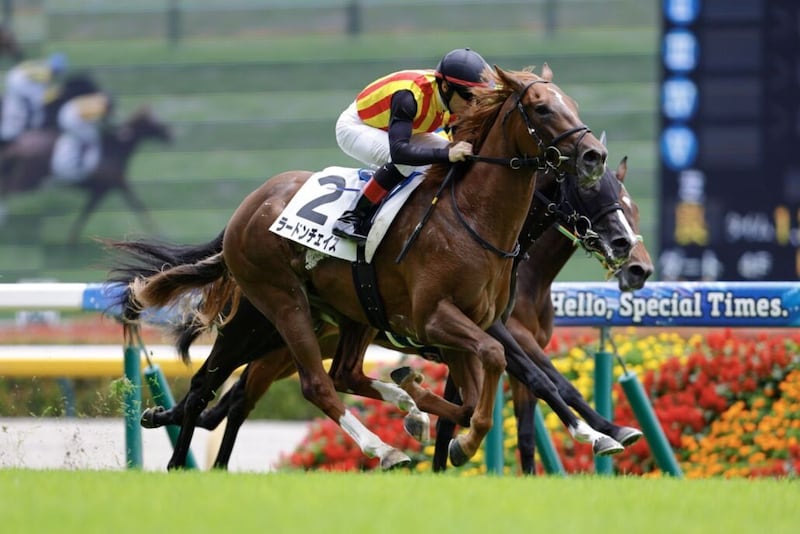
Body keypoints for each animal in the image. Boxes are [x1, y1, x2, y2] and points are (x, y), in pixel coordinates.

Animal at [0, 107, 171, 243]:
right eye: (154, 122)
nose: (170, 134)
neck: (114, 149)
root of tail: (18, 144)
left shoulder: (110, 186)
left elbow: (87, 213)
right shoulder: (109, 186)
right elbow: (137, 205)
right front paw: (160, 233)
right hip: (30, 178)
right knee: (8, 189)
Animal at [121, 65, 618, 470]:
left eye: (572, 105)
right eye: (542, 108)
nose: (594, 155)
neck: (474, 219)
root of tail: (246, 211)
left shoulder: (473, 326)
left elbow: (484, 394)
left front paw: (425, 408)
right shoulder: (439, 319)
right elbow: (507, 369)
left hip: (331, 315)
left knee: (254, 382)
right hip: (278, 308)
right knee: (307, 385)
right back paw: (384, 448)